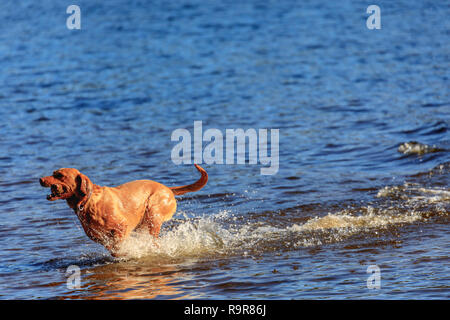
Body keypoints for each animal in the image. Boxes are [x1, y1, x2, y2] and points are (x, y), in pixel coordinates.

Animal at [39, 164, 207, 256]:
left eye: (59, 175)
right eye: (53, 173)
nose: (40, 179)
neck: (87, 202)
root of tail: (168, 188)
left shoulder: (122, 227)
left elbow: (119, 244)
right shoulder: (99, 237)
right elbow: (112, 248)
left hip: (153, 212)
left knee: (153, 239)